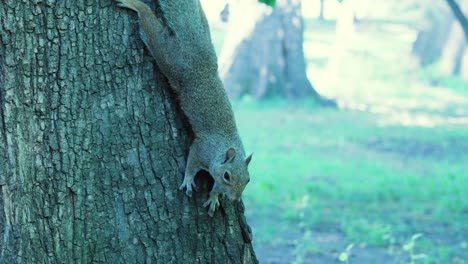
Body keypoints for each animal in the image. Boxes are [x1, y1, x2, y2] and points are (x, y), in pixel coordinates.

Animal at [116, 0, 252, 217]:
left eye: (248, 179)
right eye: (227, 176)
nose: (234, 199)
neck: (223, 147)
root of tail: (199, 55)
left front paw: (214, 197)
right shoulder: (201, 149)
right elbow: (191, 163)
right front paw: (188, 180)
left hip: (202, 33)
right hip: (172, 59)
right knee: (153, 32)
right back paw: (136, 6)